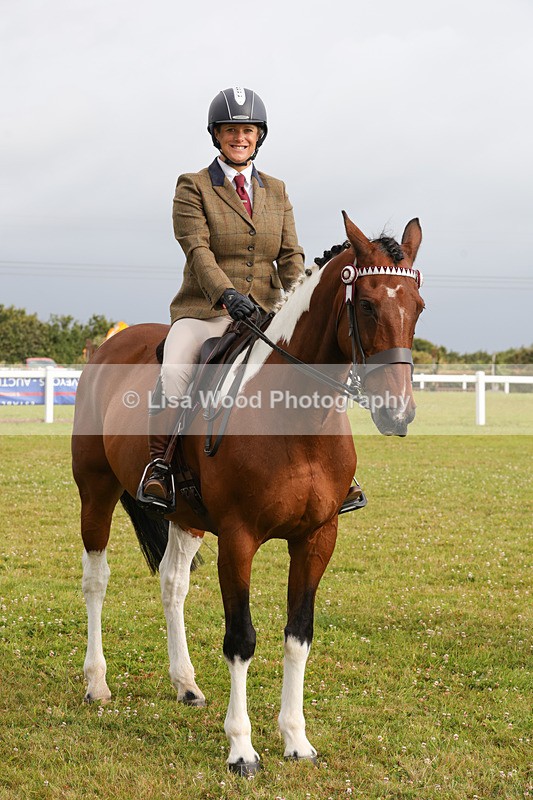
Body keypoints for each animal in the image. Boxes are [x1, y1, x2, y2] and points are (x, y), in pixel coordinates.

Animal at [71, 212, 424, 776]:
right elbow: (241, 640)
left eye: (418, 305)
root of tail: (108, 345)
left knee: (172, 583)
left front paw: (296, 740)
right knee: (95, 580)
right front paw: (242, 749)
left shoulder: (318, 538)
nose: (399, 412)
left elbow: (298, 635)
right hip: (95, 490)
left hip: (185, 516)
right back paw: (97, 683)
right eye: (367, 304)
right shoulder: (238, 540)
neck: (295, 420)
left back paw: (186, 685)